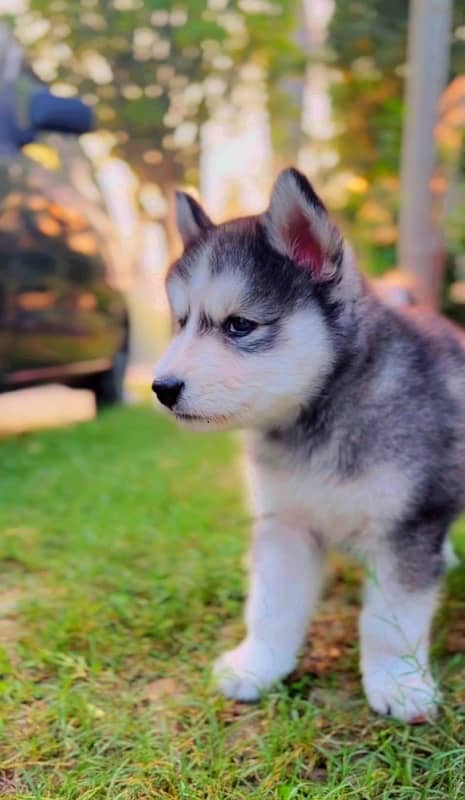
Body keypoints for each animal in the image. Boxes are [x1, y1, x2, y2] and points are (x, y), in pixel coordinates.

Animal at [153, 170, 464, 724]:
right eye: (181, 322)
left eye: (239, 325)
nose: (161, 388)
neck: (316, 421)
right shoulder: (286, 523)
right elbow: (272, 607)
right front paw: (258, 666)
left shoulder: (407, 526)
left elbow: (390, 620)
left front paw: (400, 683)